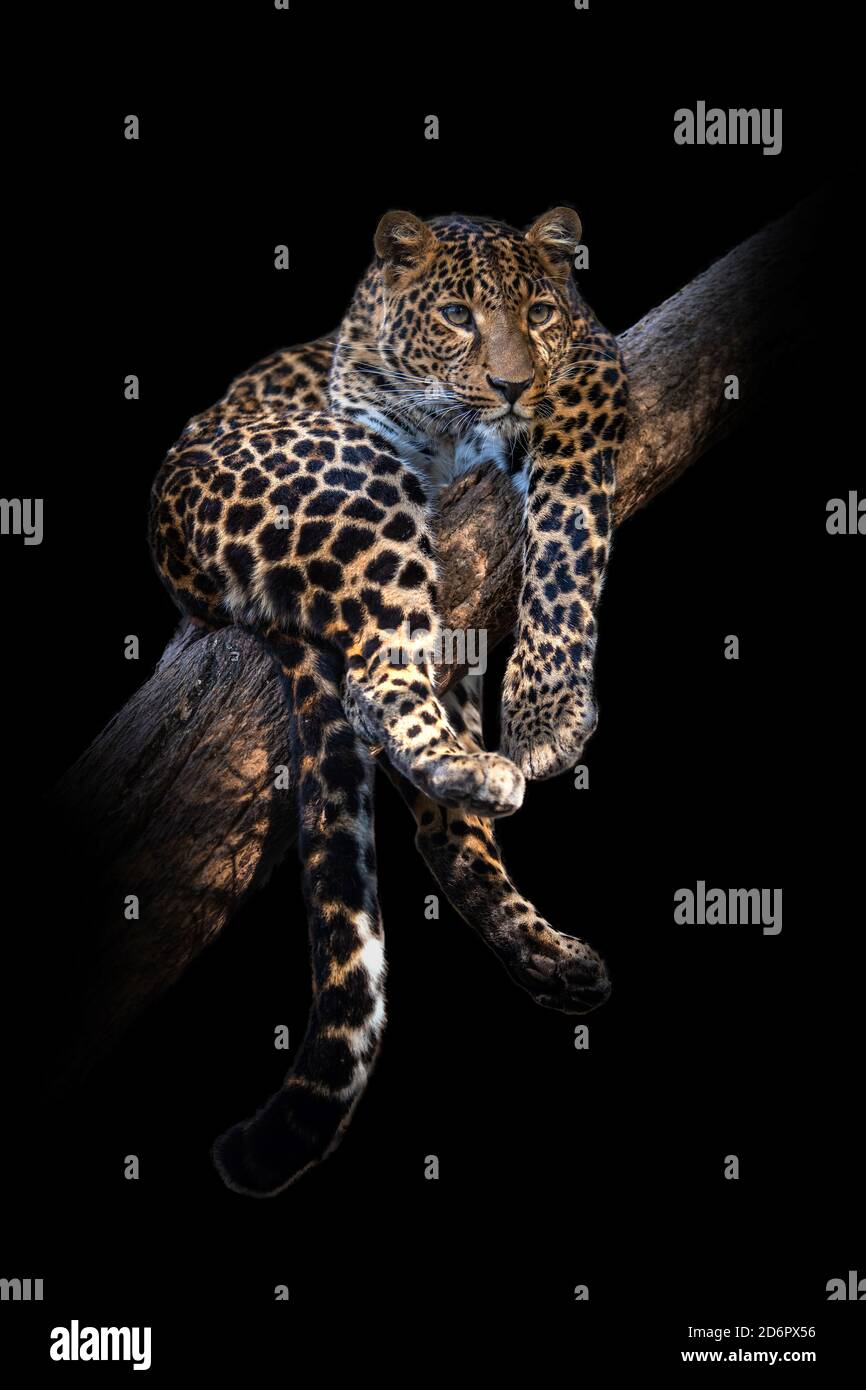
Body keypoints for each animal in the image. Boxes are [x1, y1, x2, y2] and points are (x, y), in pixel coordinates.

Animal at [149, 206, 629, 1196]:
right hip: (357, 489)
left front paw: (545, 708)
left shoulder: (589, 365)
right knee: (376, 685)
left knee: (446, 826)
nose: (510, 386)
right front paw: (549, 719)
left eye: (536, 311)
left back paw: (544, 946)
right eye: (454, 315)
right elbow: (561, 532)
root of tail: (182, 568)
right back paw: (474, 769)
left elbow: (568, 529)